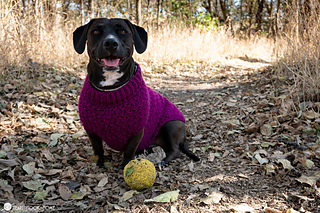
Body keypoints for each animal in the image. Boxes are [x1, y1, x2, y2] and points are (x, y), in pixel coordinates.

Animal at [72, 18, 200, 167]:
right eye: (96, 31)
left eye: (123, 31)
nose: (111, 43)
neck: (110, 91)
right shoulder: (91, 129)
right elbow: (98, 149)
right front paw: (99, 163)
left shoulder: (136, 130)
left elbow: (129, 151)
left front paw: (126, 166)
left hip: (171, 125)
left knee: (175, 151)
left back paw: (162, 161)